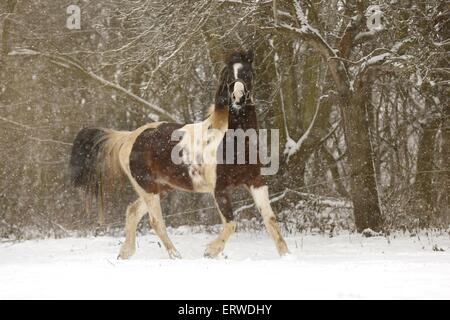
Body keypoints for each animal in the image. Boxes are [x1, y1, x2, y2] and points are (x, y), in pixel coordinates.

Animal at [69, 50, 290, 260]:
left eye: (247, 72)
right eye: (227, 74)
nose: (237, 98)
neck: (234, 140)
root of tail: (129, 137)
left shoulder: (256, 181)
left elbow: (270, 219)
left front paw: (286, 255)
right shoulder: (219, 189)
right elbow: (231, 223)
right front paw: (210, 251)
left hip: (160, 187)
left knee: (132, 211)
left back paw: (125, 253)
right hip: (148, 188)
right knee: (156, 221)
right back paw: (175, 255)